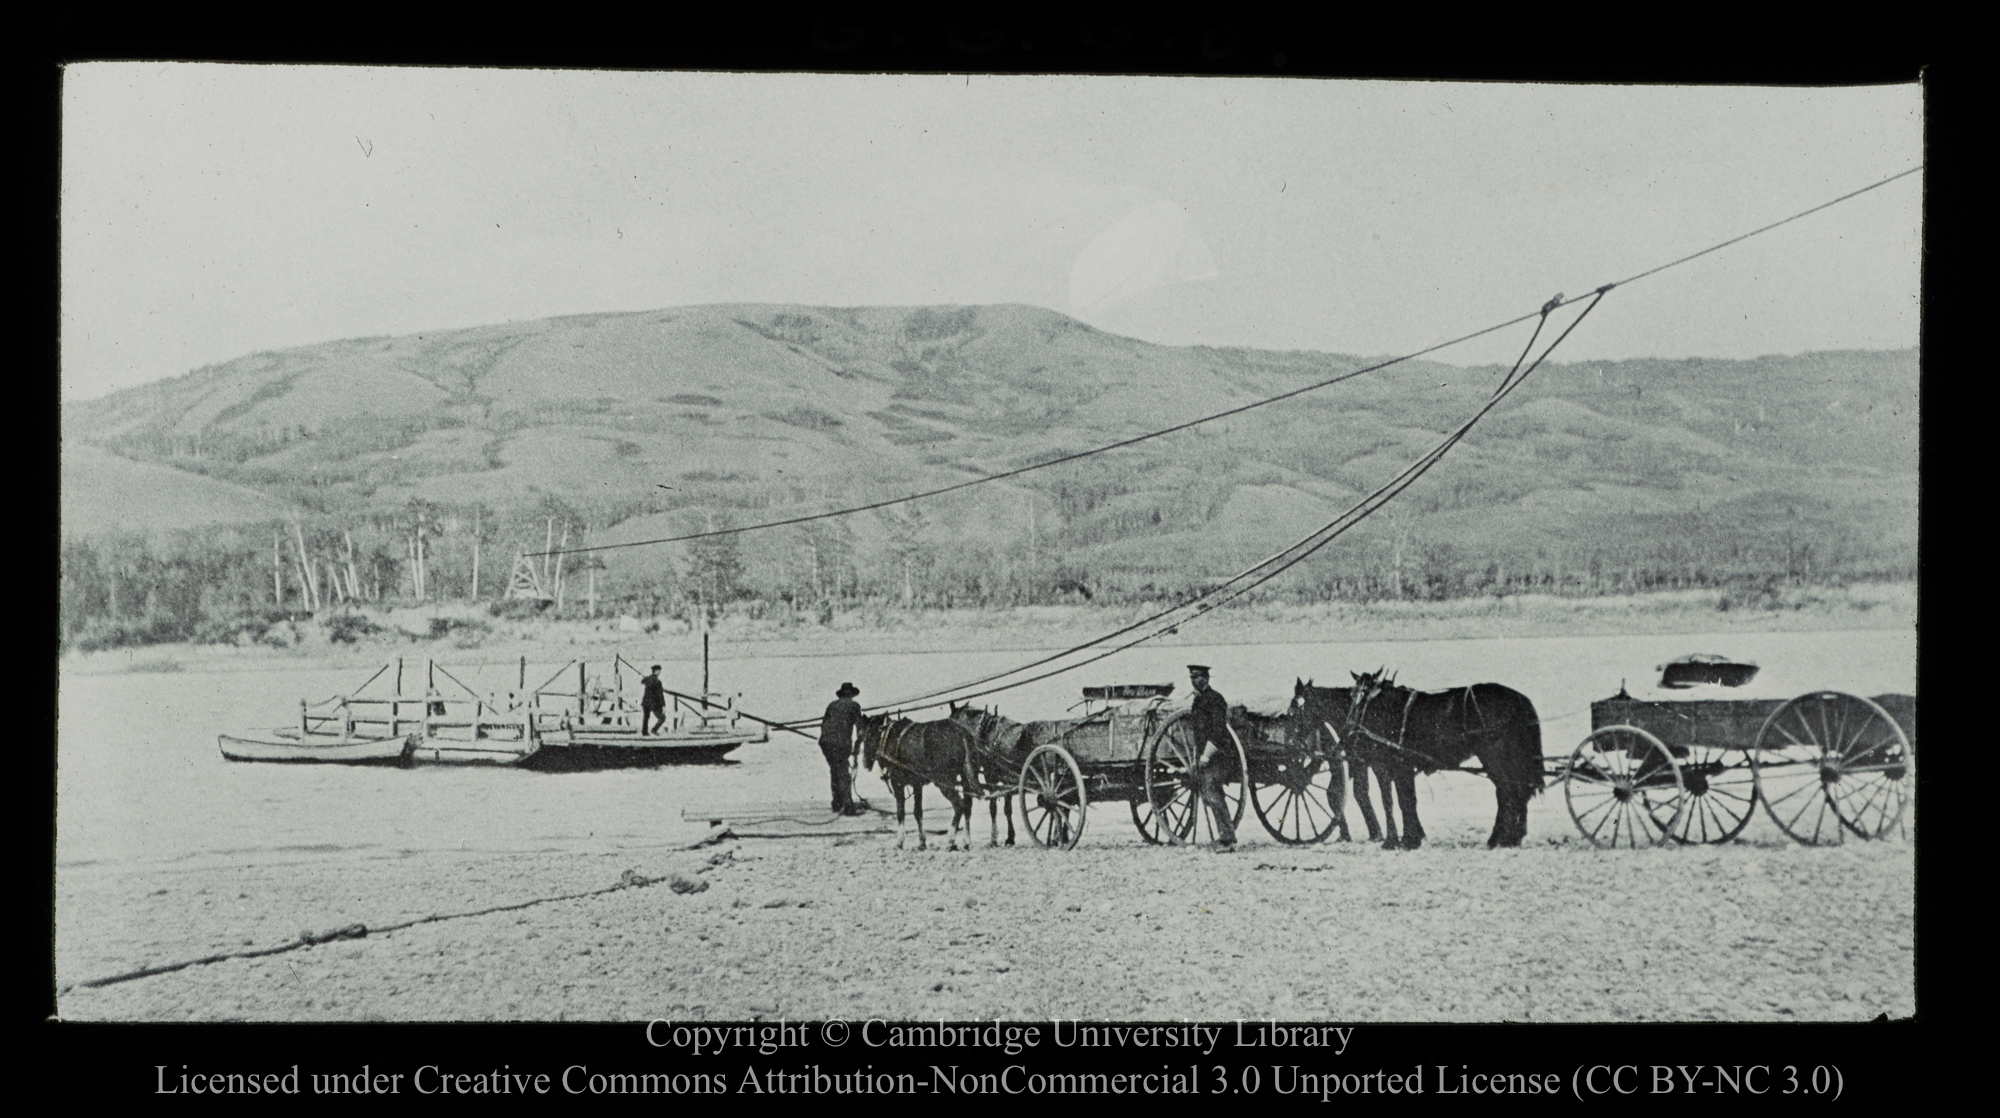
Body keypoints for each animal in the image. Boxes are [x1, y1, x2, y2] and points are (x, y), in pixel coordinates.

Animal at [864, 712, 980, 852]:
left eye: (868, 734)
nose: (864, 762)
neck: (889, 736)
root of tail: (961, 732)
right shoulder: (917, 785)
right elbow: (917, 812)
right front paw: (922, 842)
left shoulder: (897, 783)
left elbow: (900, 812)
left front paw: (899, 842)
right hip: (965, 779)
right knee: (967, 807)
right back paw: (966, 841)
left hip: (945, 782)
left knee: (959, 806)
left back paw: (951, 840)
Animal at [1288, 680, 1384, 844]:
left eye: (1295, 709)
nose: (1292, 742)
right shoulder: (1343, 763)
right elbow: (1333, 794)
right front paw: (1344, 833)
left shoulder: (1359, 763)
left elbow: (1359, 792)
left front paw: (1376, 833)